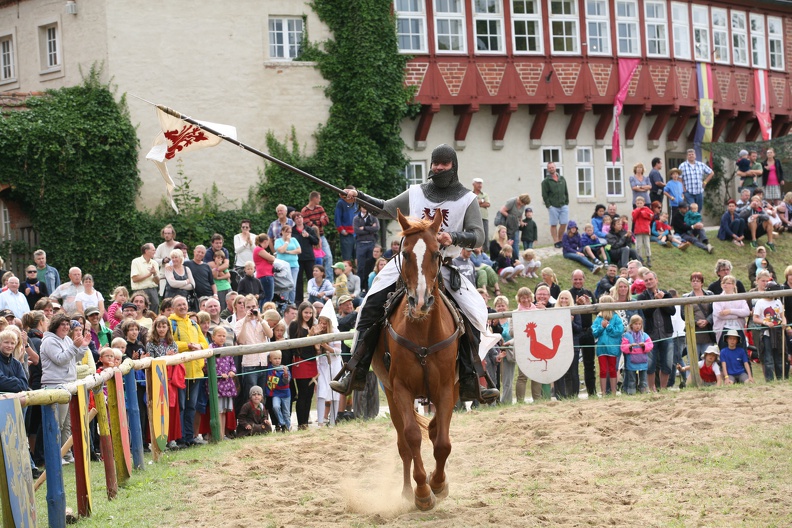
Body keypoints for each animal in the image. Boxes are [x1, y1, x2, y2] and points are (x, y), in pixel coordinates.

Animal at [372, 210, 464, 512]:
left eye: (436, 253)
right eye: (406, 253)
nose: (420, 302)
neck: (422, 330)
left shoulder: (446, 389)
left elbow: (443, 442)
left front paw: (439, 484)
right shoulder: (400, 389)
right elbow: (412, 437)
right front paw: (422, 491)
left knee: (435, 432)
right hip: (390, 395)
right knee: (404, 443)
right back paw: (406, 491)